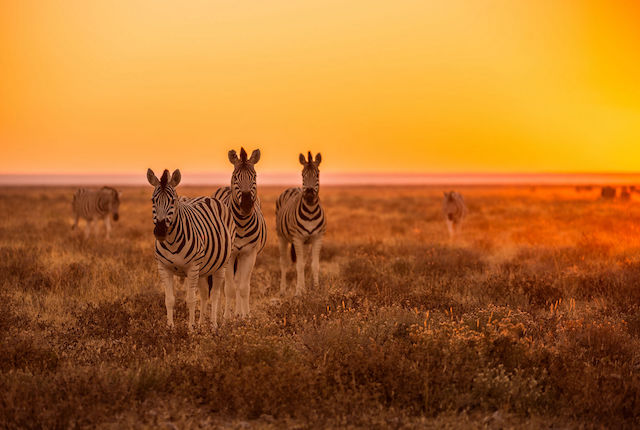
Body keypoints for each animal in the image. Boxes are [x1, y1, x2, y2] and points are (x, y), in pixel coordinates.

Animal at [147, 168, 235, 330]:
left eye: (173, 201)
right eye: (153, 200)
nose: (160, 231)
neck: (172, 242)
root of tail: (208, 198)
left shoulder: (192, 267)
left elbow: (191, 299)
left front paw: (190, 329)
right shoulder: (163, 267)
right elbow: (169, 299)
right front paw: (170, 328)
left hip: (221, 264)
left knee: (215, 294)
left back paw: (213, 325)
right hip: (203, 268)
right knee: (205, 292)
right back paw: (201, 324)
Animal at [212, 148, 268, 320]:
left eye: (254, 176)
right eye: (235, 177)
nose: (246, 205)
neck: (241, 224)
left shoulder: (249, 253)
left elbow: (243, 287)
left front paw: (245, 317)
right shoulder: (230, 255)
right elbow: (229, 287)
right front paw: (225, 319)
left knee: (240, 282)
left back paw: (238, 313)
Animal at [276, 151, 328, 296]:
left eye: (317, 174)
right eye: (302, 175)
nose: (309, 195)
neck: (310, 212)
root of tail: (293, 187)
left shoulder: (317, 237)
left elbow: (314, 265)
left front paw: (316, 289)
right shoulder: (298, 238)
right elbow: (298, 265)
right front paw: (299, 291)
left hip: (305, 243)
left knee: (303, 261)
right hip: (282, 237)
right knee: (284, 263)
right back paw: (282, 290)